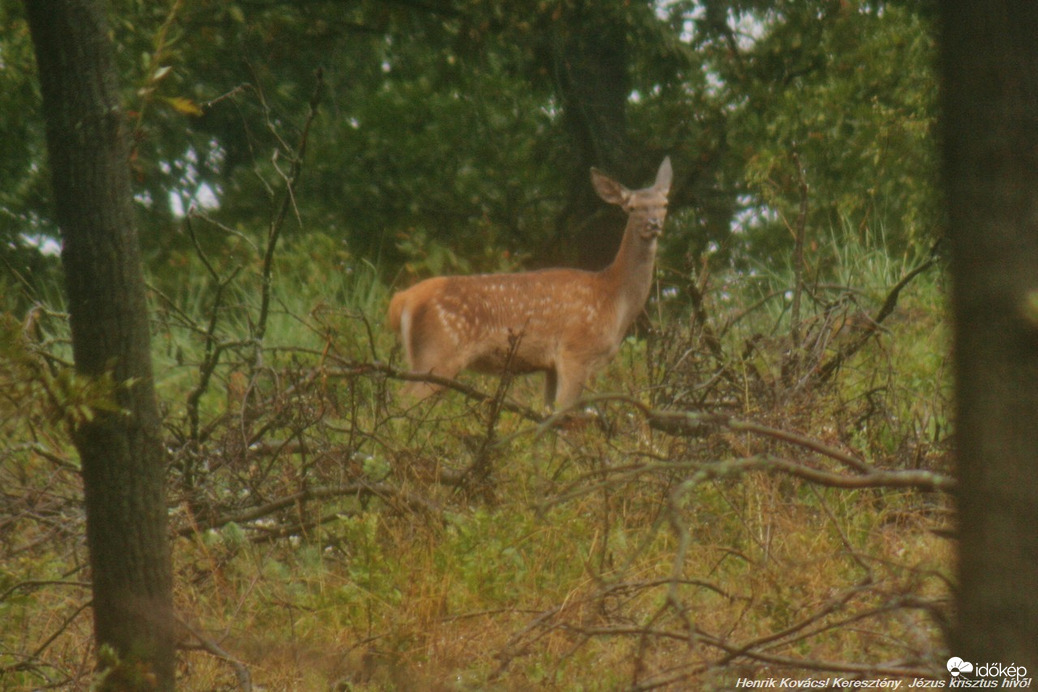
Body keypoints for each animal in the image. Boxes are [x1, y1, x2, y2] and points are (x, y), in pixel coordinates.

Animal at [388, 156, 672, 408]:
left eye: (664, 204)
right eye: (631, 207)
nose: (654, 223)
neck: (614, 297)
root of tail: (403, 300)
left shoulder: (551, 366)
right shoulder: (576, 350)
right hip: (439, 352)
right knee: (404, 400)